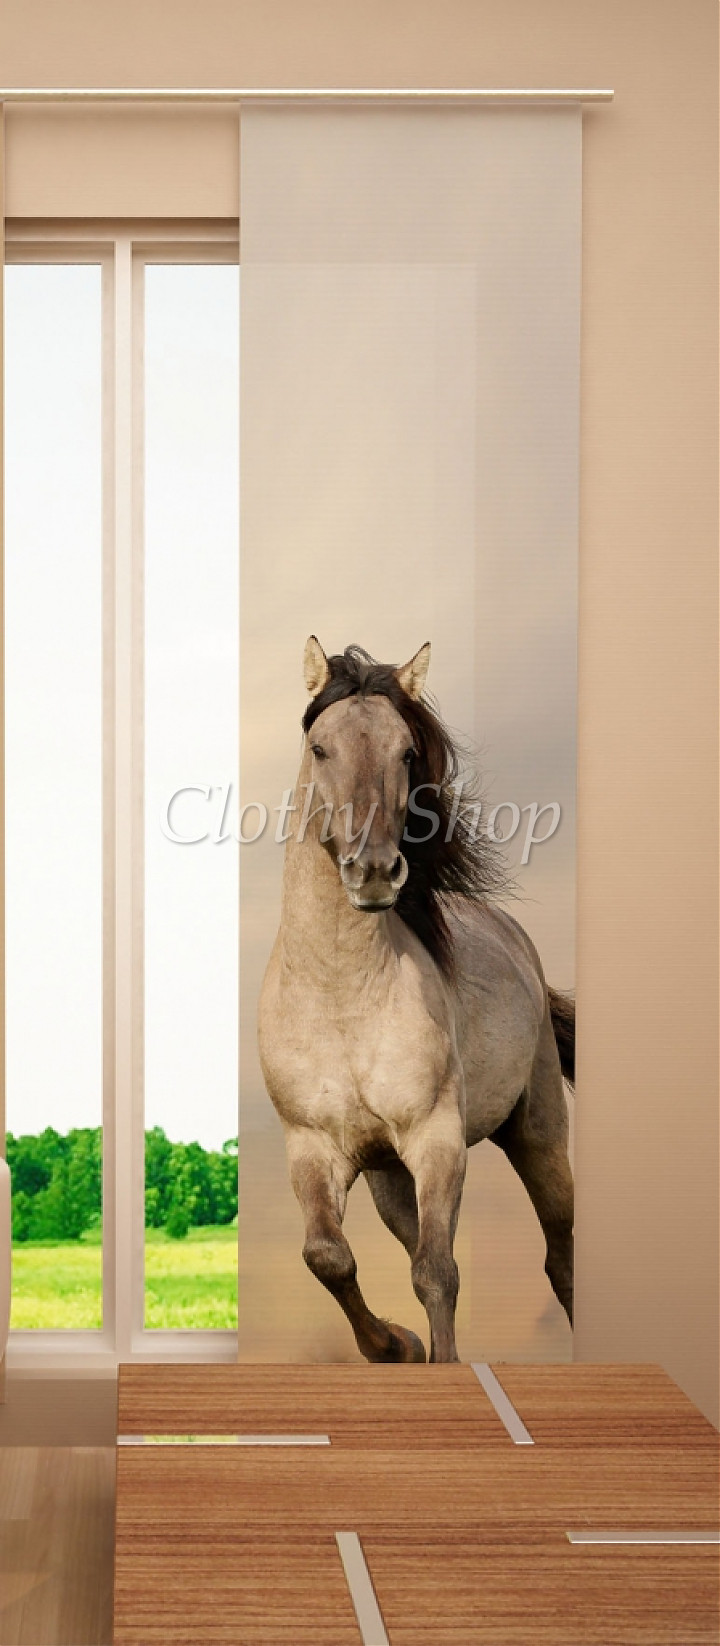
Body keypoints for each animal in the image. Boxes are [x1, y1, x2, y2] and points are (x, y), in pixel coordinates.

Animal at [257, 637, 575, 1364]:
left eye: (406, 752)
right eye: (320, 748)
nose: (374, 871)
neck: (341, 999)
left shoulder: (436, 1139)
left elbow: (438, 1272)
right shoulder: (314, 1148)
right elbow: (328, 1257)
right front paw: (396, 1347)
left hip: (538, 1134)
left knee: (563, 1258)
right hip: (388, 1178)